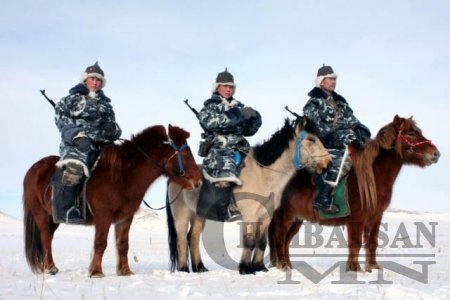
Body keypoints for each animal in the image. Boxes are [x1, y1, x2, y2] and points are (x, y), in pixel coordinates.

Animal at [22, 123, 202, 276]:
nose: (199, 180)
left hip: (54, 218)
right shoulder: (104, 217)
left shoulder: (125, 218)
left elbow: (123, 244)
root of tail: (33, 170)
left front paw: (125, 271)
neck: (122, 176)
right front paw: (96, 272)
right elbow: (100, 243)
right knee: (45, 238)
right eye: (186, 153)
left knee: (49, 238)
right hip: (40, 214)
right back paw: (50, 268)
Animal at [165, 116, 330, 274]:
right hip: (181, 215)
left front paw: (259, 267)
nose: (328, 162)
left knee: (193, 238)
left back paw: (200, 268)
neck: (263, 174)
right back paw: (183, 269)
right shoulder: (249, 215)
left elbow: (261, 242)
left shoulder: (266, 216)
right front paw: (245, 269)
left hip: (199, 216)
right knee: (181, 240)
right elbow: (249, 241)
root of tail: (174, 178)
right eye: (311, 139)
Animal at [268, 116, 442, 274]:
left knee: (286, 240)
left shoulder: (375, 217)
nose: (436, 154)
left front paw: (373, 268)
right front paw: (354, 269)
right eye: (411, 133)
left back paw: (288, 266)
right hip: (285, 216)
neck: (373, 177)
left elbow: (371, 243)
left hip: (296, 219)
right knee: (279, 238)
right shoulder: (357, 219)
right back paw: (283, 266)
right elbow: (355, 243)